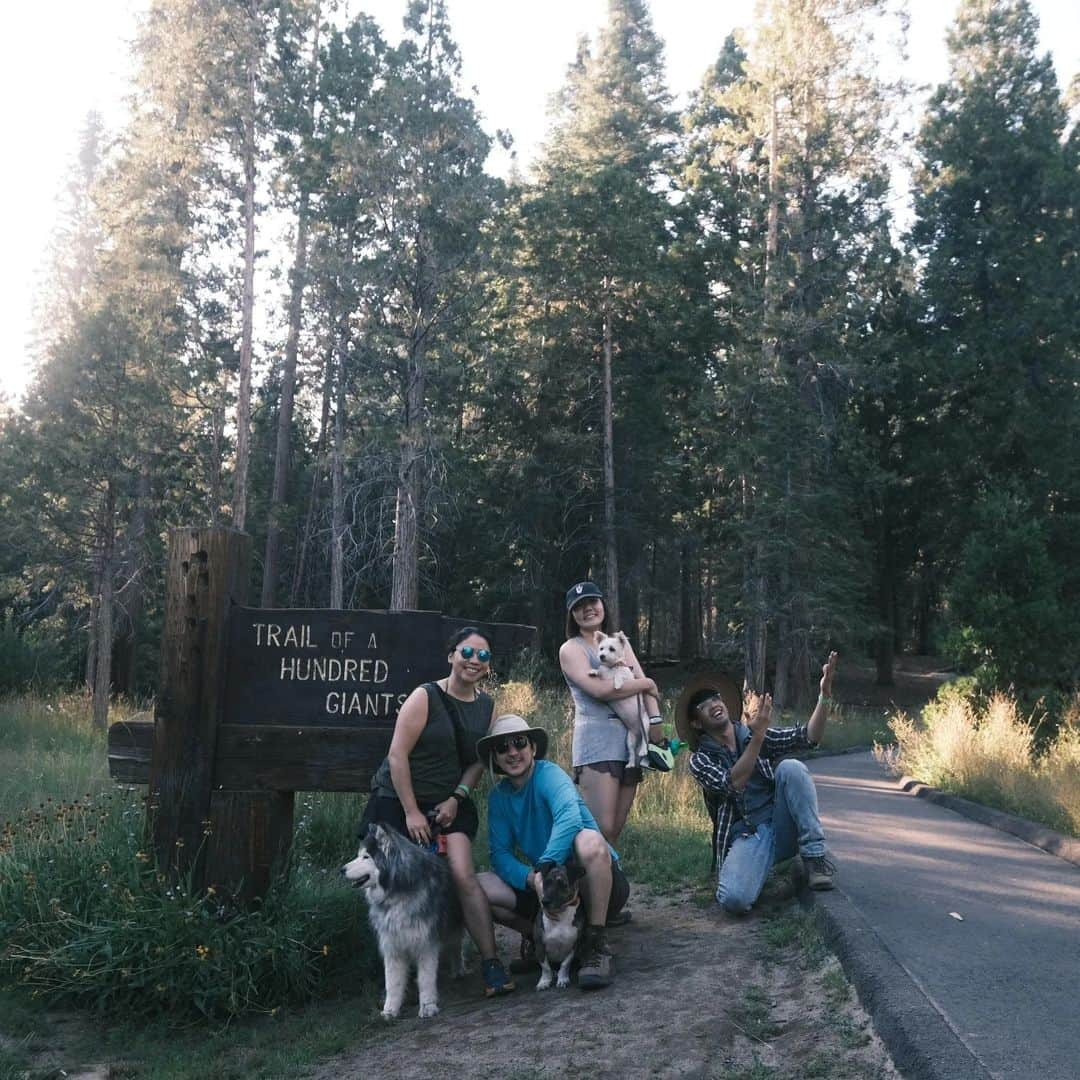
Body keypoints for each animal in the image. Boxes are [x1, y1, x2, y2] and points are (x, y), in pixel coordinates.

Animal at [341, 820, 464, 1015]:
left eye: (366, 857)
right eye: (359, 855)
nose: (341, 869)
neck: (396, 893)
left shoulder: (425, 943)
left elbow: (426, 979)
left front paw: (428, 1006)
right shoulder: (392, 945)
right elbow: (392, 982)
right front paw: (389, 1010)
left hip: (453, 926)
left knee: (456, 946)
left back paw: (458, 969)